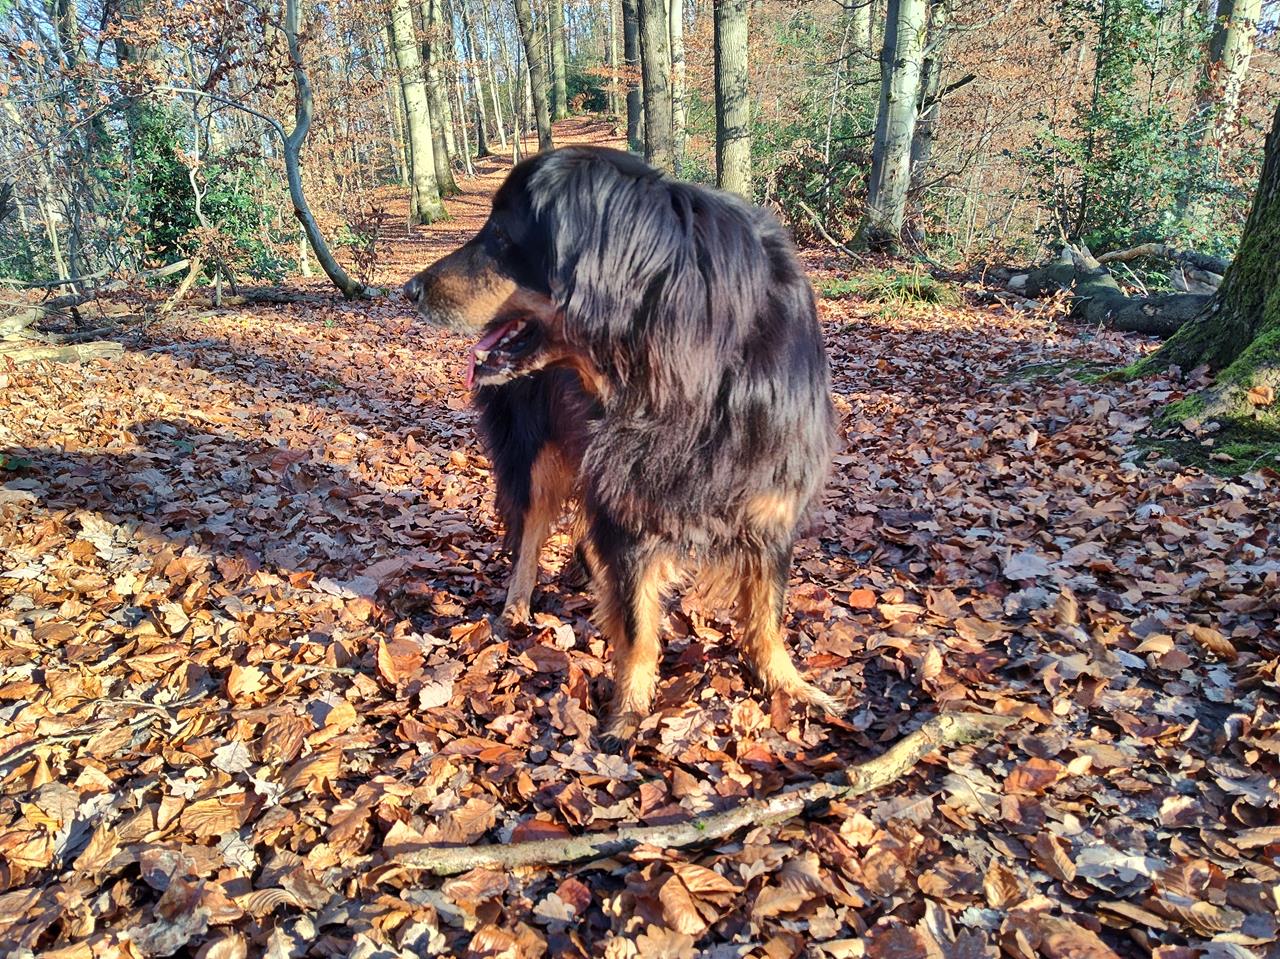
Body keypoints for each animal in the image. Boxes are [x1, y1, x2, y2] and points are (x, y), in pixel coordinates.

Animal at [404, 146, 838, 750]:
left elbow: (768, 613)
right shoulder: (629, 507)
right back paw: (517, 605)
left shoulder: (771, 504)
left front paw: (787, 684)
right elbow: (638, 628)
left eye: (502, 233)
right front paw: (628, 713)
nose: (409, 289)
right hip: (540, 457)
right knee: (531, 532)